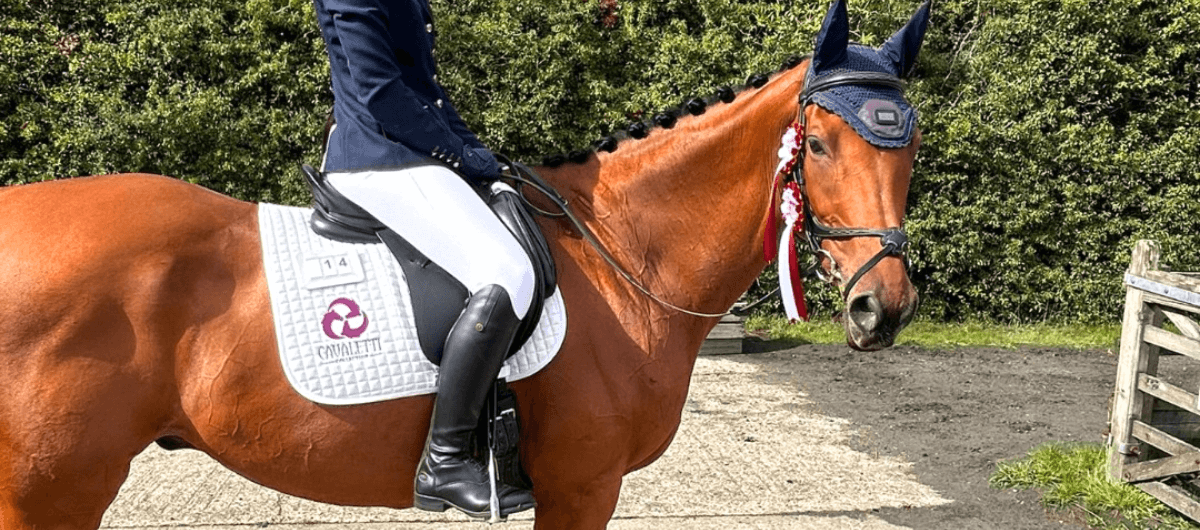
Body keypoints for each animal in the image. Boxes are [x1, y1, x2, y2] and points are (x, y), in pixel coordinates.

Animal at [0, 2, 927, 527]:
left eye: (911, 145)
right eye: (817, 144)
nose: (881, 307)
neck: (623, 250)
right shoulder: (583, 488)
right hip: (49, 489)